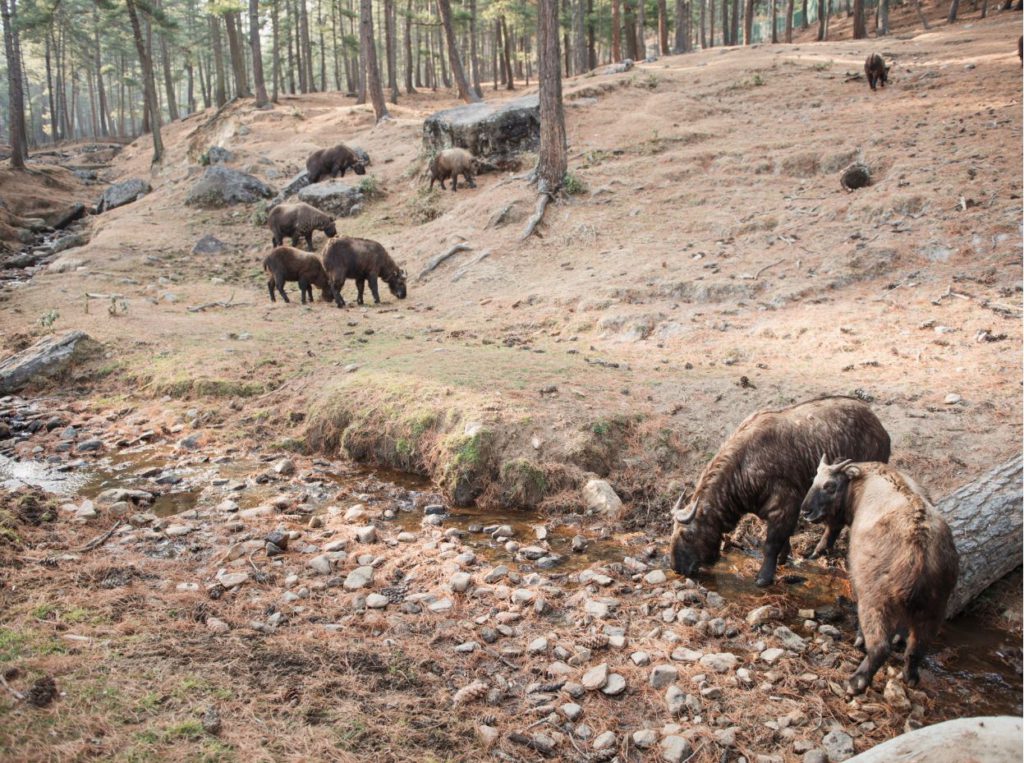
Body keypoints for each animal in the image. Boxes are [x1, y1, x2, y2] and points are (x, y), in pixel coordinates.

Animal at [671, 395, 888, 585]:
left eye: (688, 534)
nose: (675, 567)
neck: (743, 466)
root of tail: (879, 427)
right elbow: (784, 539)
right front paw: (784, 558)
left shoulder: (784, 507)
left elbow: (771, 544)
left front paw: (764, 577)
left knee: (835, 523)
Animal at [798, 458, 958, 696]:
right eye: (814, 480)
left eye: (830, 485)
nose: (806, 511)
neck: (860, 486)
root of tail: (921, 547)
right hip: (935, 607)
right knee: (917, 648)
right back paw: (910, 677)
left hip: (876, 601)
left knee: (880, 647)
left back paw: (856, 682)